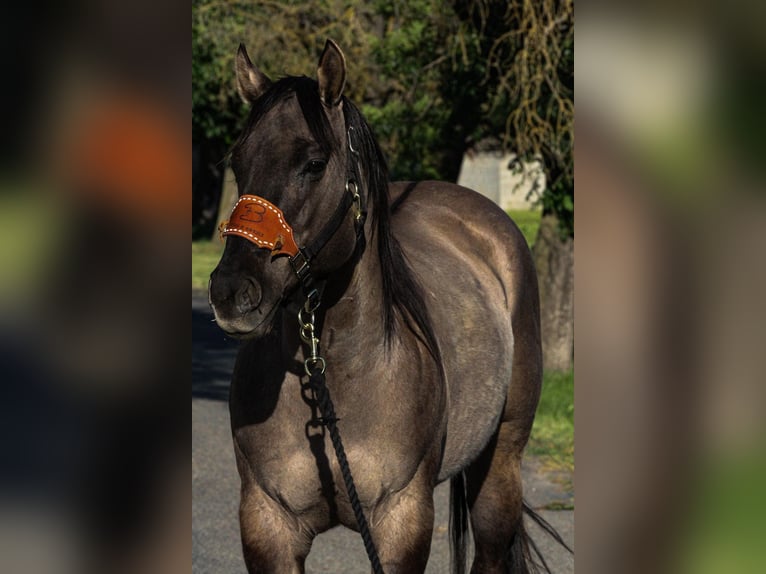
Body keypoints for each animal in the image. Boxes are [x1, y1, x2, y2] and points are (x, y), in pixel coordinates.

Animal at [210, 38, 560, 572]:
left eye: (314, 163)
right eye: (238, 162)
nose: (231, 292)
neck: (338, 375)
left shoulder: (401, 521)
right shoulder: (268, 525)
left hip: (500, 462)